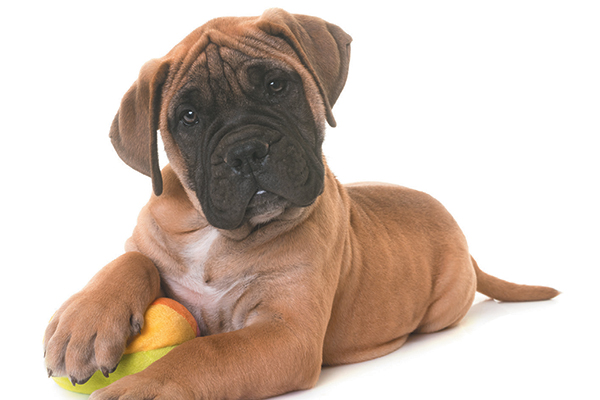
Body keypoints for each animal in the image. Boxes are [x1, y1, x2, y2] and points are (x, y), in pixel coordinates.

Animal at [44, 9, 560, 400]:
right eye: (188, 117)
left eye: (276, 86)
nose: (246, 151)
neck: (216, 235)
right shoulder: (147, 240)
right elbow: (129, 261)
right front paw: (83, 324)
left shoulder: (286, 332)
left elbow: (205, 351)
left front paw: (146, 386)